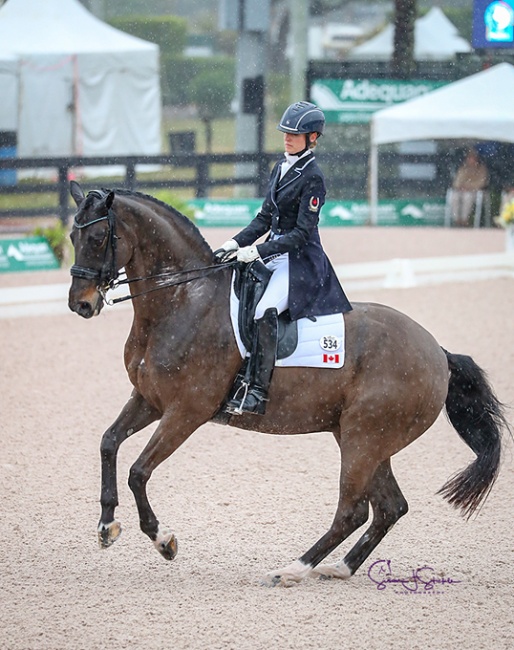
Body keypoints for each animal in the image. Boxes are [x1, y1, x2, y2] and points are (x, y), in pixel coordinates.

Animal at [68, 184, 508, 588]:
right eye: (73, 236)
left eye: (98, 237)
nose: (81, 304)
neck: (183, 299)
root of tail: (438, 352)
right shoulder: (149, 399)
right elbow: (108, 443)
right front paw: (106, 527)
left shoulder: (186, 411)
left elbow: (139, 471)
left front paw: (163, 540)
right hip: (366, 438)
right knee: (389, 507)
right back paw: (339, 568)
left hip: (364, 438)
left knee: (352, 511)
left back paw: (292, 569)